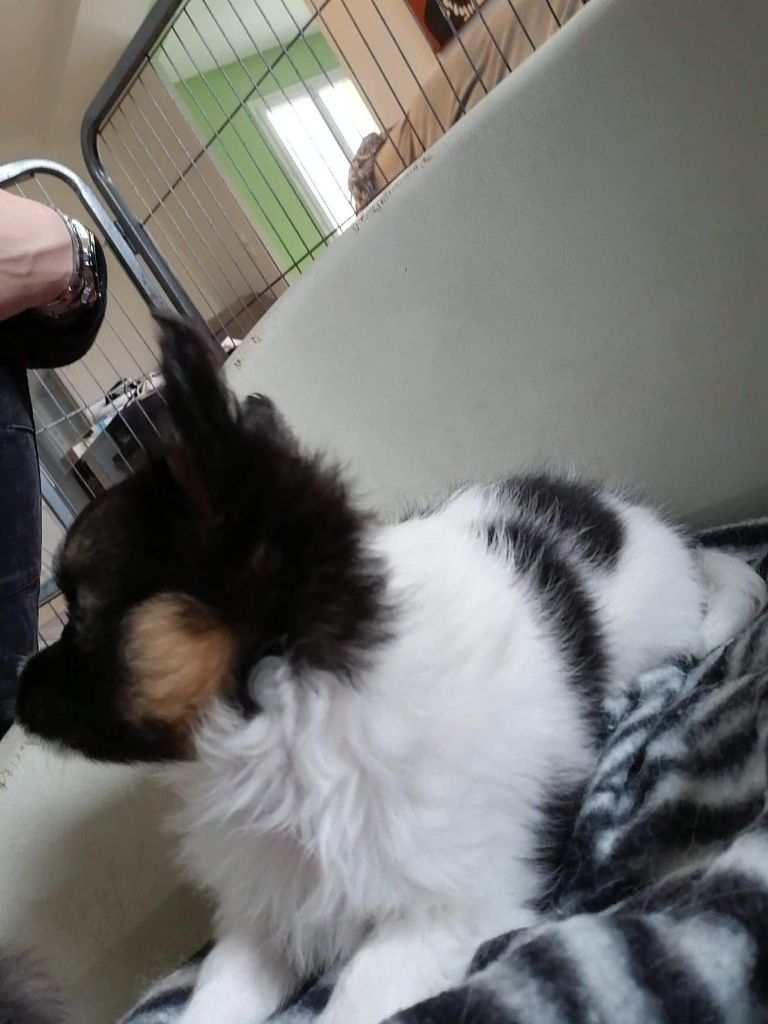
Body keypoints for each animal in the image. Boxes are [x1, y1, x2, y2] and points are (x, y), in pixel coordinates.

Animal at [17, 314, 766, 1024]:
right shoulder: (271, 908)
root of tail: (638, 522)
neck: (290, 726)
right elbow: (217, 998)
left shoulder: (455, 905)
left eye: (81, 613)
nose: (18, 683)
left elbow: (356, 995)